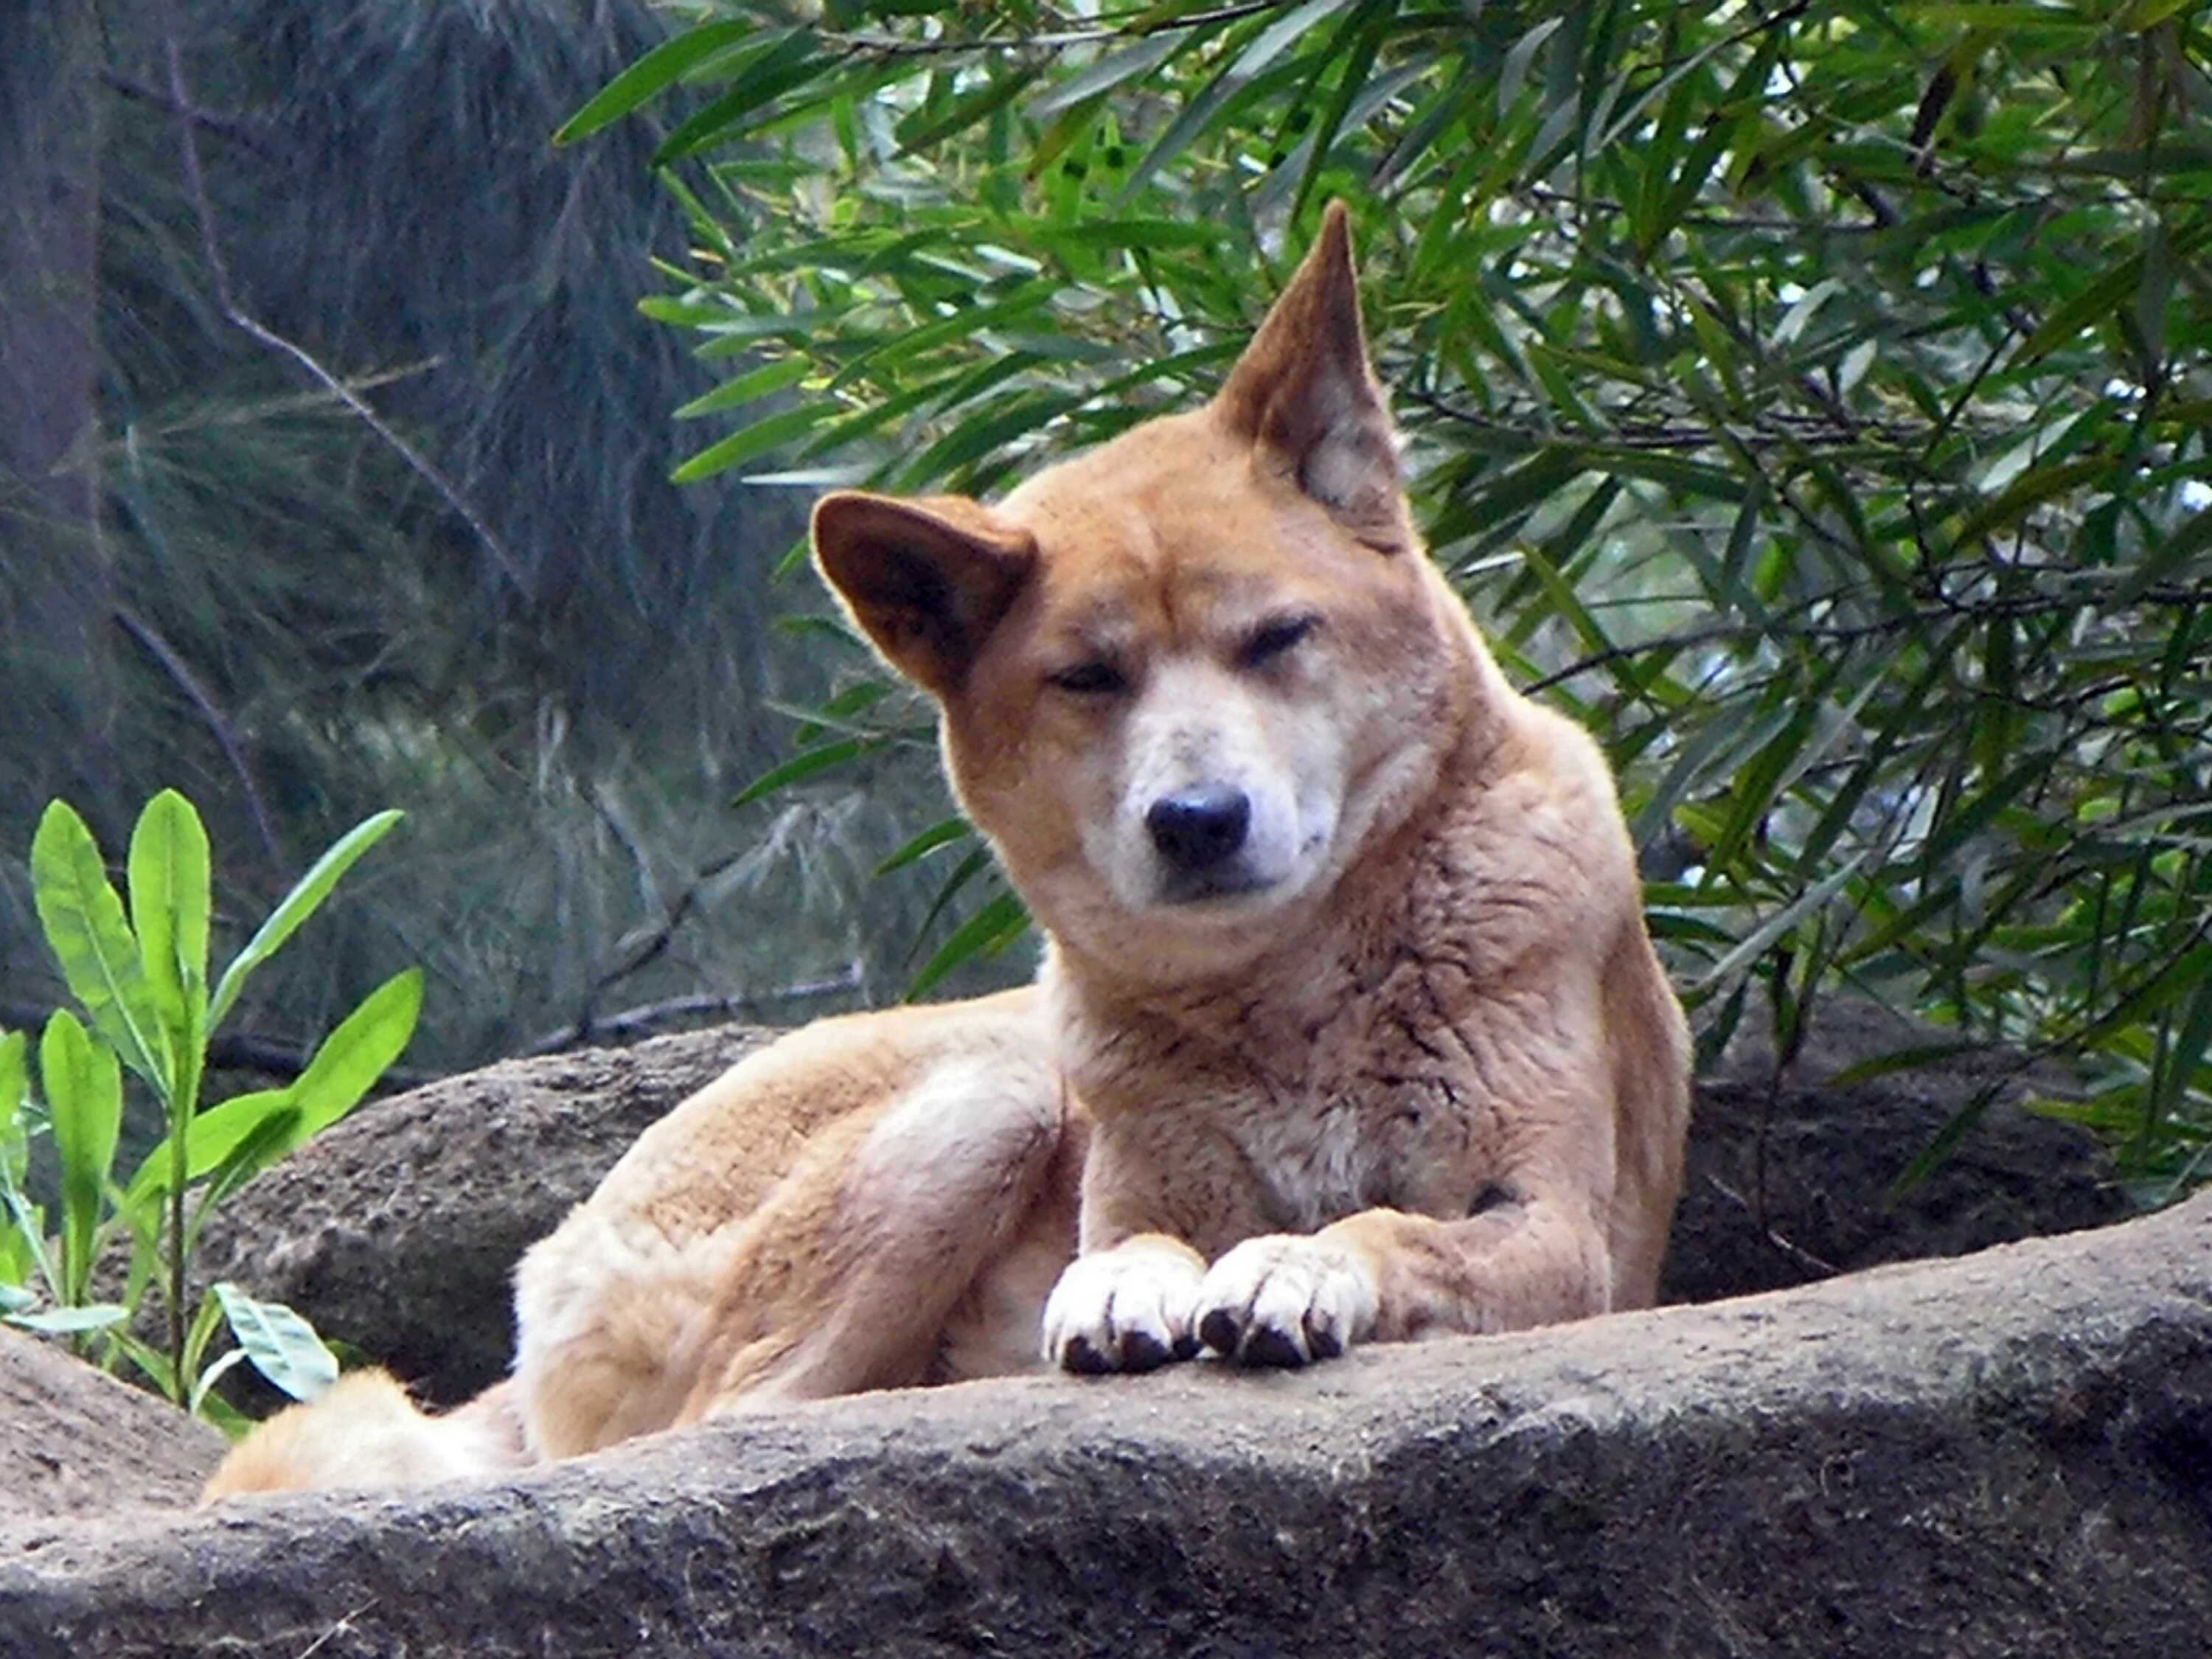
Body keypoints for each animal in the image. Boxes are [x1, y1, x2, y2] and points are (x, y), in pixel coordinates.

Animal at [211, 208, 1690, 1504]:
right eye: (1088, 678)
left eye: (1278, 637)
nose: (1197, 820)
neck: (1293, 1008)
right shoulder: (1134, 1184)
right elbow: (1138, 1241)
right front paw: (1129, 1286)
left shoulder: (1561, 1233)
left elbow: (1385, 1226)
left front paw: (1292, 1265)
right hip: (993, 1092)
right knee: (724, 1425)